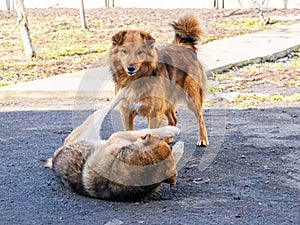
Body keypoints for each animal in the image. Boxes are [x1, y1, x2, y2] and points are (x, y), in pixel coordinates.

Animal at [44, 87, 184, 201]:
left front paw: (177, 147)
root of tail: (56, 154)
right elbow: (144, 131)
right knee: (108, 106)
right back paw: (125, 89)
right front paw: (171, 131)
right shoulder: (116, 137)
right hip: (95, 121)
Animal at [109, 15, 209, 146]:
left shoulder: (154, 113)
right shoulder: (126, 112)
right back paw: (168, 139)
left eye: (139, 52)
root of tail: (183, 46)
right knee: (174, 119)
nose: (130, 68)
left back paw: (202, 139)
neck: (135, 79)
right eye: (124, 51)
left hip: (192, 96)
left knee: (200, 118)